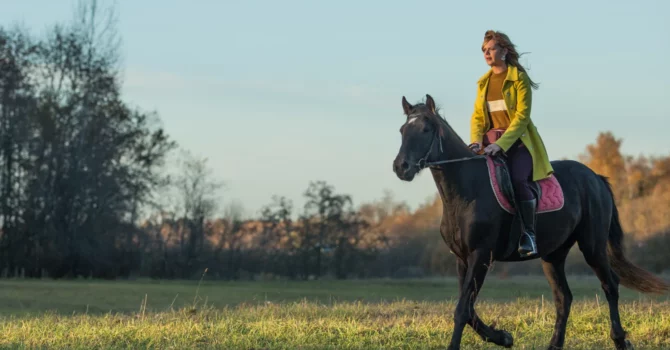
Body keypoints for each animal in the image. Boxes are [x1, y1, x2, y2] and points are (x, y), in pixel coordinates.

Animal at [392, 93, 668, 350]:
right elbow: (468, 310)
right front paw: (503, 337)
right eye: (403, 130)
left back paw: (620, 340)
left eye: (426, 129)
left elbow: (462, 310)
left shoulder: (481, 255)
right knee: (564, 298)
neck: (466, 191)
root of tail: (595, 178)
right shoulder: (463, 259)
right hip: (553, 255)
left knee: (610, 285)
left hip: (592, 246)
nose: (400, 167)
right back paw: (554, 344)